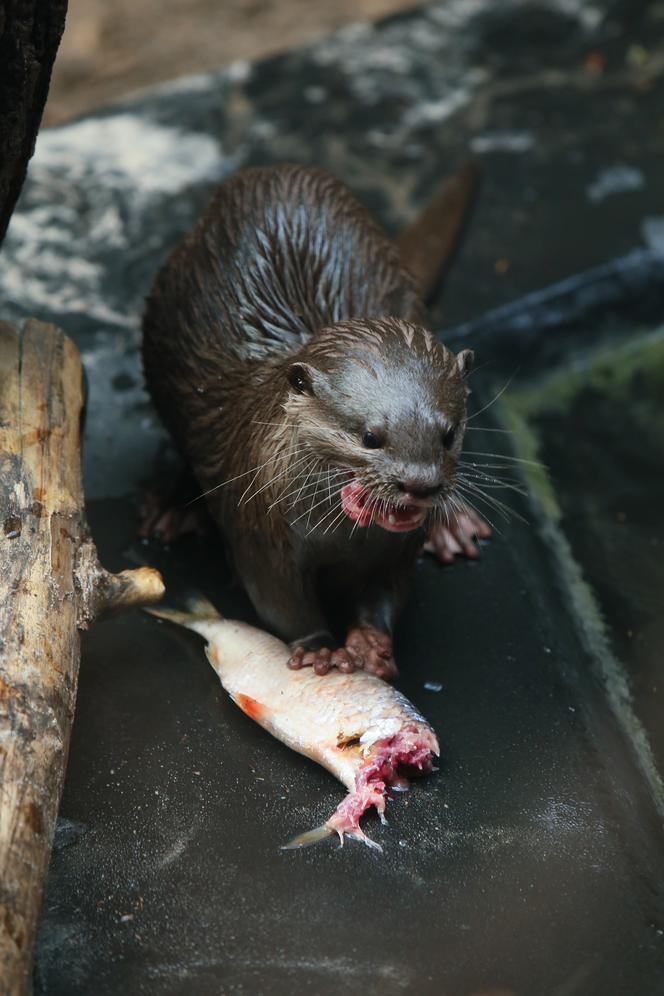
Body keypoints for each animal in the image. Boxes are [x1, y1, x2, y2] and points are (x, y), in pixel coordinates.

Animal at [144, 165, 488, 676]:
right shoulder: (260, 528)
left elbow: (386, 591)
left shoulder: (395, 550)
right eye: (370, 436)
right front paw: (320, 647)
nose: (420, 485)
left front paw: (369, 642)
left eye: (447, 435)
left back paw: (453, 526)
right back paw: (173, 507)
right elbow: (281, 601)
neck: (339, 538)